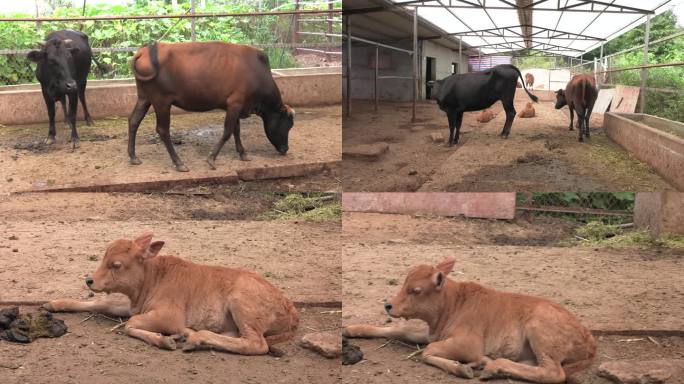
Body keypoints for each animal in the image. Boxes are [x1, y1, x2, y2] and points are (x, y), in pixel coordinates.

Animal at [43, 231, 300, 354]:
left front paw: (165, 340)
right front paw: (54, 303)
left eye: (116, 264)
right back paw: (192, 337)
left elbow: (129, 325)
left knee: (255, 344)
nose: (90, 280)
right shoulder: (135, 306)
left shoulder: (168, 315)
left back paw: (195, 337)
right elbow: (102, 304)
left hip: (242, 305)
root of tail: (290, 308)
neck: (152, 281)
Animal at [127, 42, 296, 172]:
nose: (285, 149)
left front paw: (242, 153)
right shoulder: (236, 103)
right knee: (162, 130)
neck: (257, 72)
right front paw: (211, 159)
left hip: (144, 98)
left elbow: (236, 130)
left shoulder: (235, 106)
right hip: (161, 101)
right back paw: (179, 163)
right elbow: (228, 131)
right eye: (287, 124)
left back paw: (133, 156)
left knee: (134, 121)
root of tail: (145, 50)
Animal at [344, 260, 596, 382]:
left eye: (416, 290)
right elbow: (399, 330)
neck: (454, 304)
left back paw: (493, 366)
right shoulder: (433, 333)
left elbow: (427, 352)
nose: (388, 305)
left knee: (553, 373)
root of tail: (589, 339)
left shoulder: (467, 343)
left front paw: (463, 368)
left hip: (540, 332)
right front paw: (350, 329)